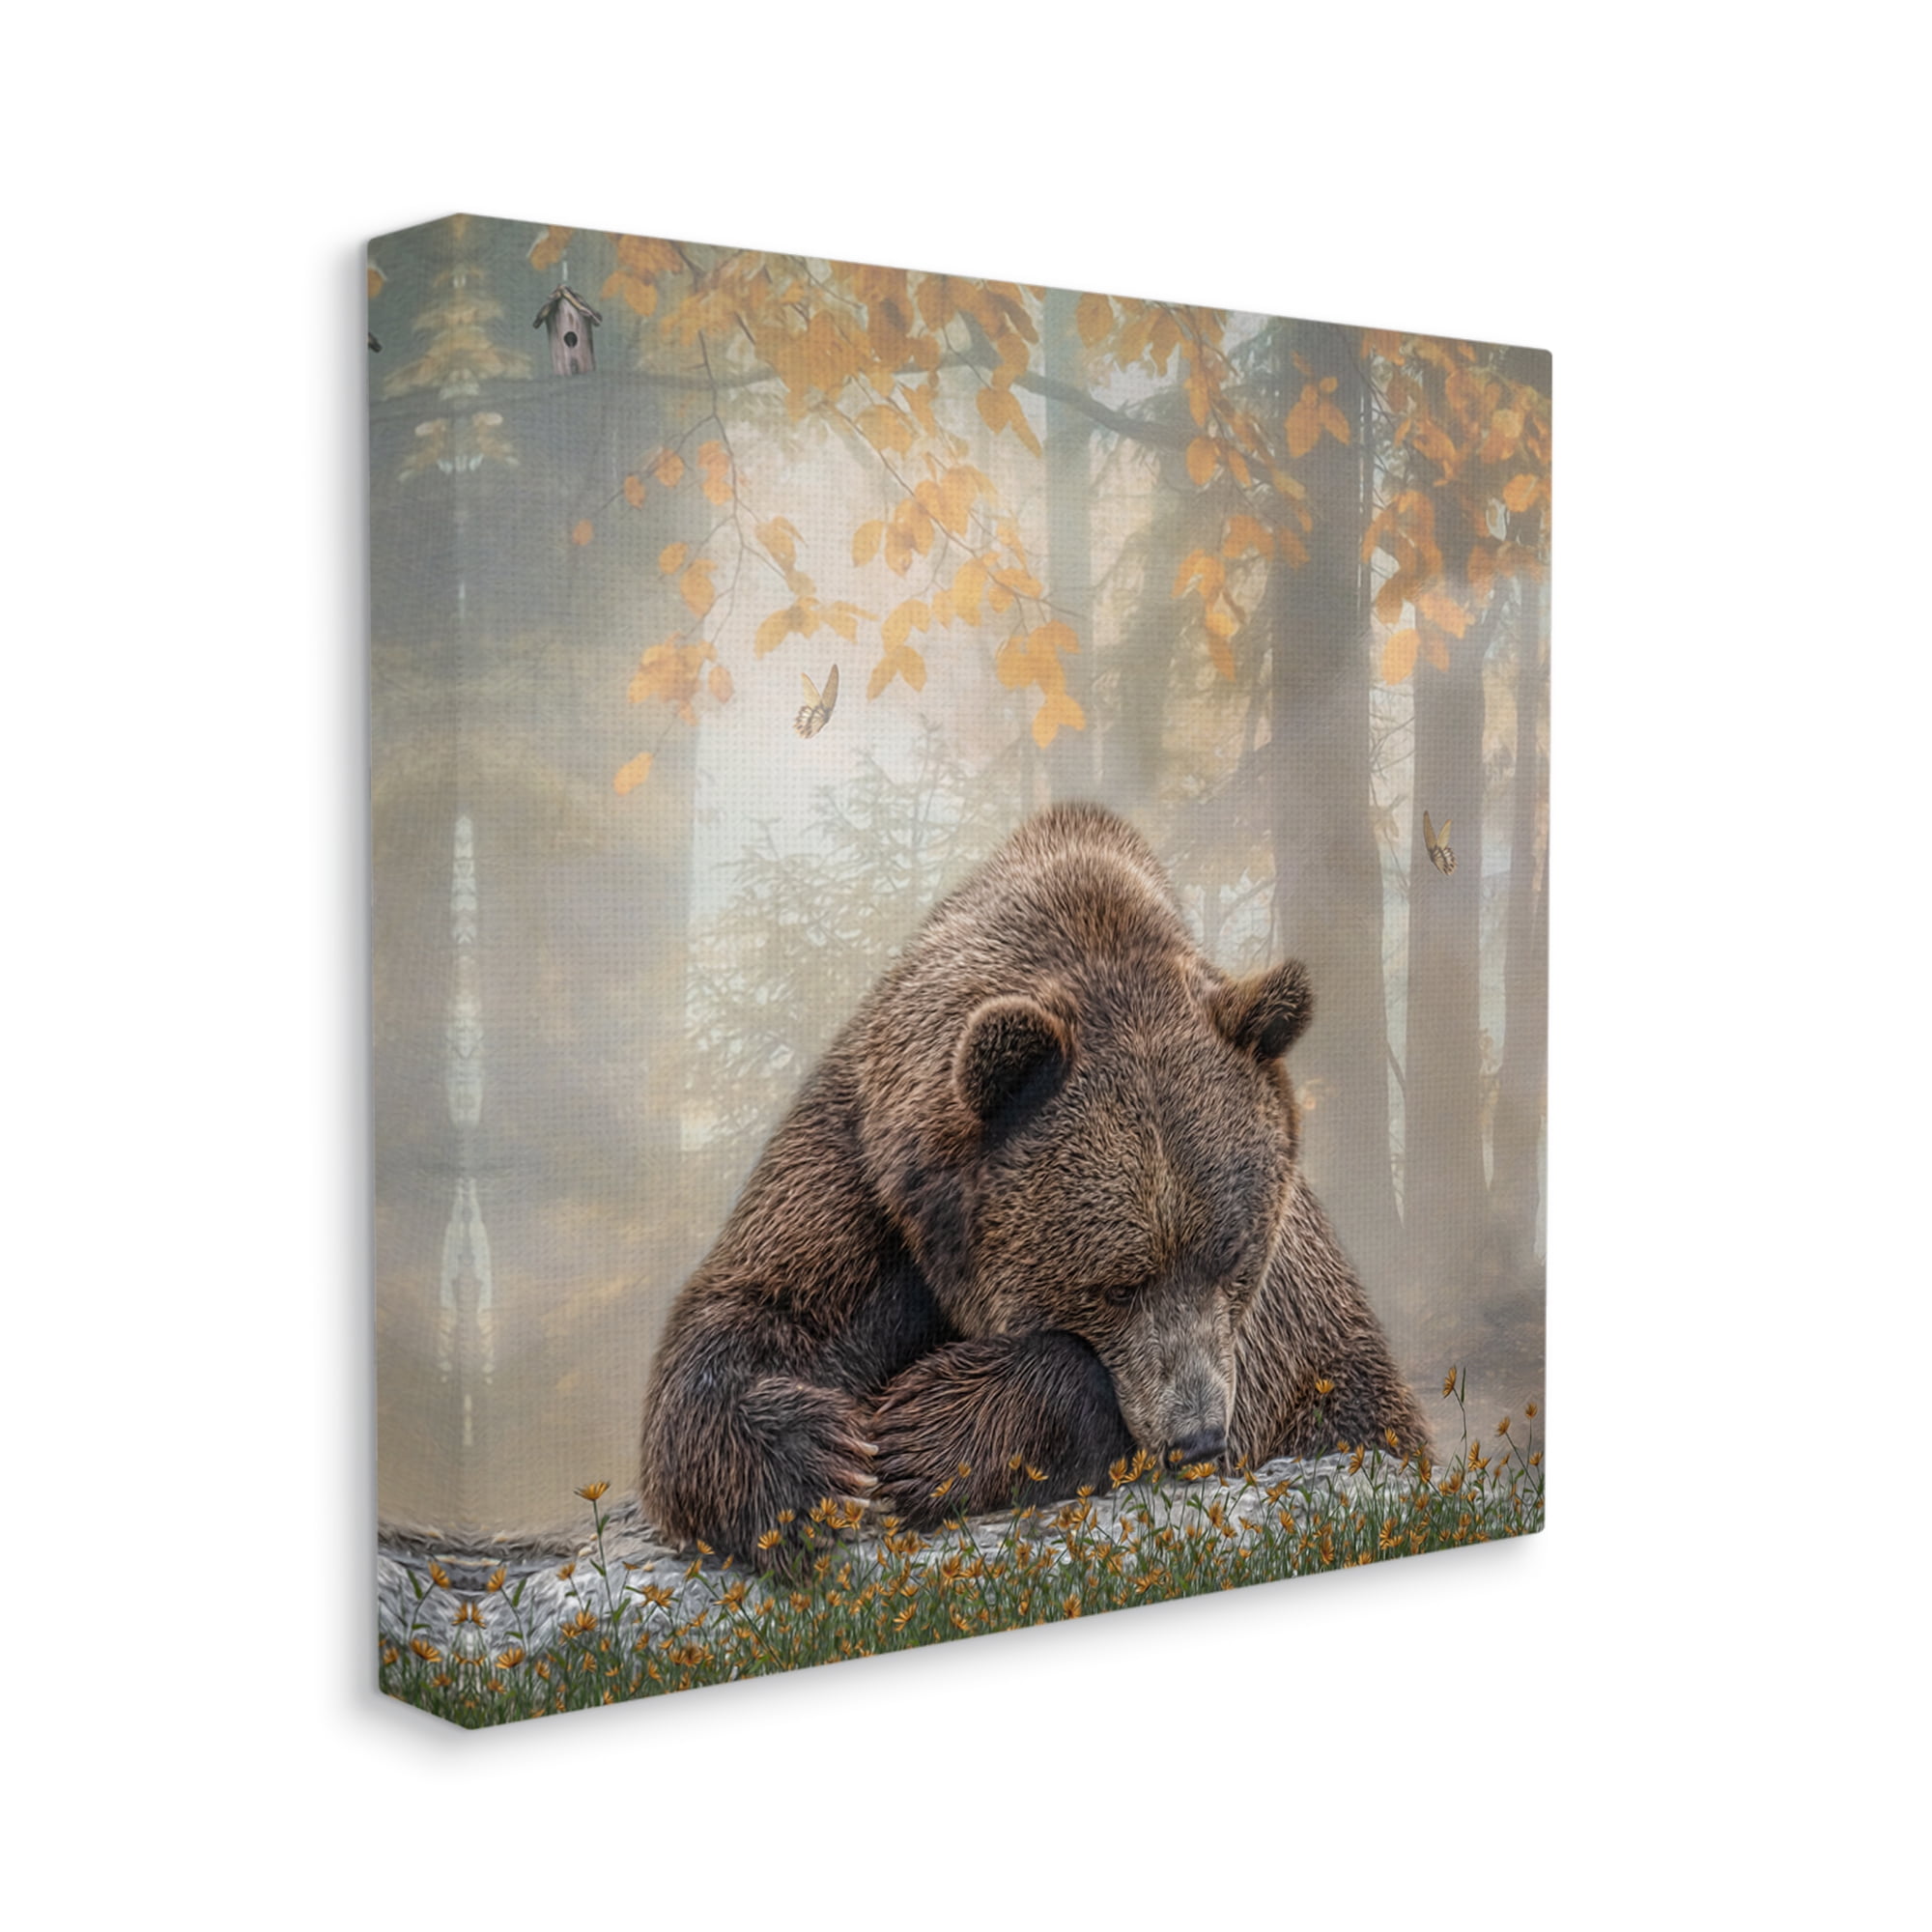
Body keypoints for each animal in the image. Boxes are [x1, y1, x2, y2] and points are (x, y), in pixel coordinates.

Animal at [638, 802, 1427, 1559]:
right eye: (1116, 1284)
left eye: (1233, 1259)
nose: (1197, 1438)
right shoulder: (867, 1169)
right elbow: (758, 1310)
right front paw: (812, 1465)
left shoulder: (1274, 1334)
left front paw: (919, 1434)